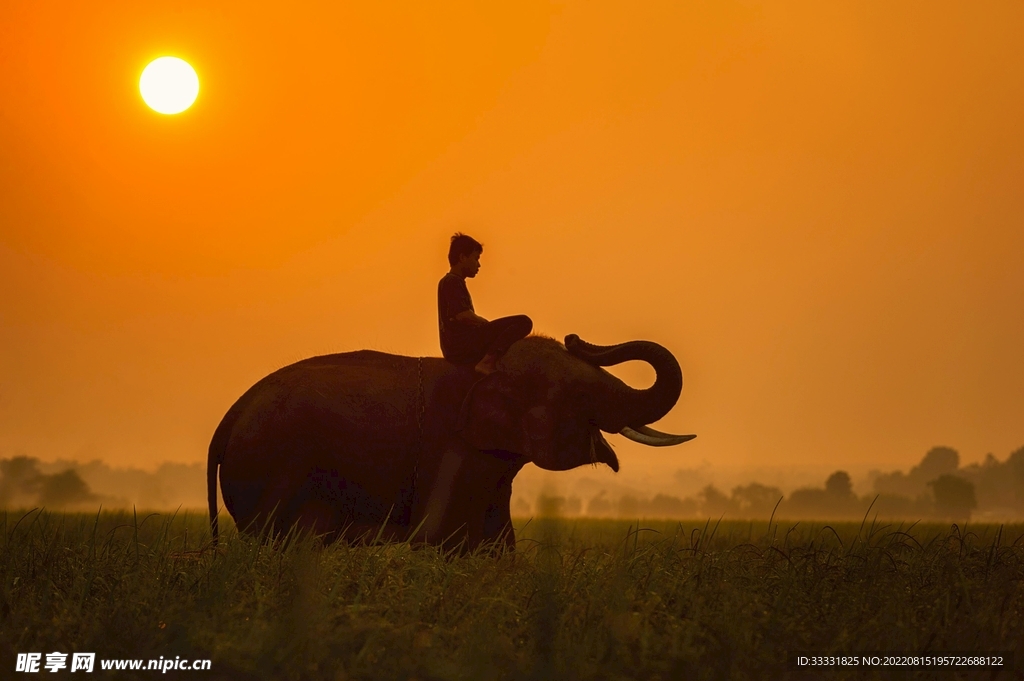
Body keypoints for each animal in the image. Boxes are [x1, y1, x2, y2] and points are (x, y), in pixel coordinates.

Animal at [207, 334, 694, 551]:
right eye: (580, 394)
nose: (576, 338)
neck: (487, 368)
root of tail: (228, 418)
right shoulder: (452, 451)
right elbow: (452, 538)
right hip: (274, 473)